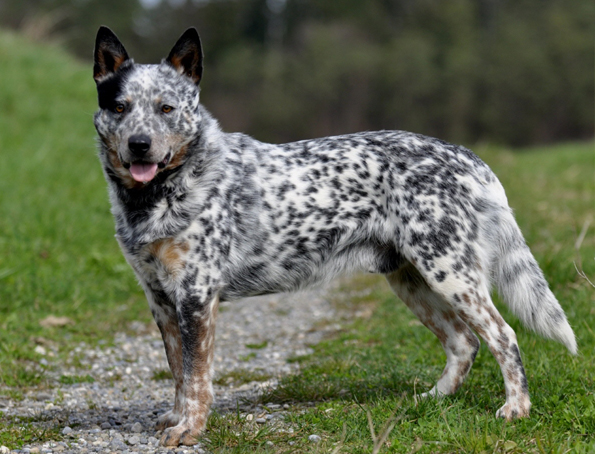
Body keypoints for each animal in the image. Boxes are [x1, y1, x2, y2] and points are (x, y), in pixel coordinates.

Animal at [92, 25, 576, 446]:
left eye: (166, 108)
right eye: (119, 107)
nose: (139, 144)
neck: (162, 191)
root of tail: (468, 159)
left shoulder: (196, 295)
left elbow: (196, 378)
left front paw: (189, 429)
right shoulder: (160, 299)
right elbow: (178, 371)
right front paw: (176, 418)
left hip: (451, 273)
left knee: (502, 335)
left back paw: (516, 408)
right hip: (412, 280)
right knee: (463, 343)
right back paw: (431, 401)